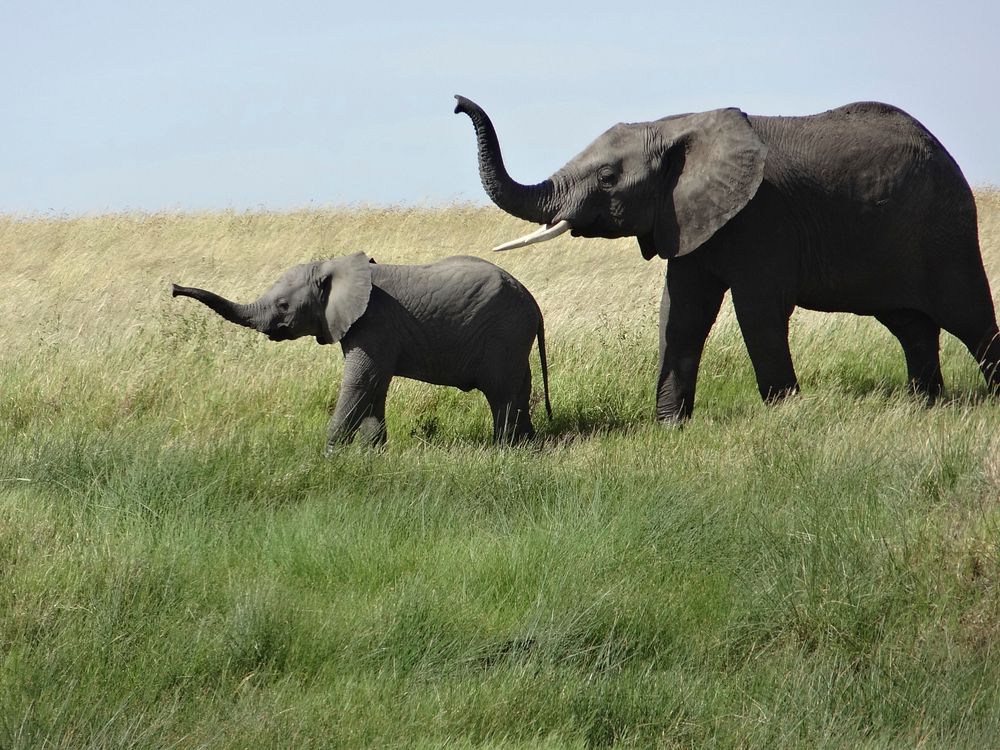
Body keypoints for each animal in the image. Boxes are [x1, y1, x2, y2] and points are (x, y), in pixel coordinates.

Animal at [169, 256, 552, 450]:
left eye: (283, 305)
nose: (173, 288)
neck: (335, 267)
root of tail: (533, 303)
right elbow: (374, 386)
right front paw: (372, 454)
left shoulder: (374, 322)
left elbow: (360, 382)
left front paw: (331, 456)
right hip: (514, 338)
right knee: (521, 387)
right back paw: (527, 446)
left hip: (504, 332)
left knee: (501, 393)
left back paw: (504, 450)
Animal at [456, 94, 1000, 424]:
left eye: (608, 178)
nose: (459, 102)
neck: (675, 126)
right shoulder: (685, 217)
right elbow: (680, 313)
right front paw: (669, 426)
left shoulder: (762, 217)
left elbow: (757, 312)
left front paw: (785, 415)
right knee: (910, 325)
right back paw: (924, 406)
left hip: (946, 227)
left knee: (969, 316)